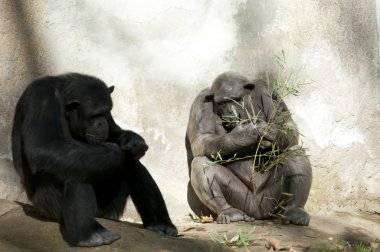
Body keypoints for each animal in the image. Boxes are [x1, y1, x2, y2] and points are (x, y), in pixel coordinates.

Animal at [11, 73, 178, 246]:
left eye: (106, 113)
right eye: (95, 115)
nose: (102, 123)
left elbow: (114, 131)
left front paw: (133, 141)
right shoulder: (41, 98)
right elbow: (43, 147)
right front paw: (116, 152)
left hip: (108, 208)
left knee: (133, 165)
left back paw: (160, 224)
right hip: (50, 206)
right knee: (76, 171)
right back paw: (89, 234)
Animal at [185, 72, 312, 225]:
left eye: (236, 99)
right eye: (222, 103)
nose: (231, 111)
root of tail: (258, 214)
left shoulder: (268, 91)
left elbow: (287, 125)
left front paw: (270, 132)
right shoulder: (201, 103)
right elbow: (201, 138)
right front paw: (245, 135)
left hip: (271, 201)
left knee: (293, 151)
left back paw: (295, 210)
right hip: (242, 199)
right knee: (201, 162)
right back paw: (229, 211)